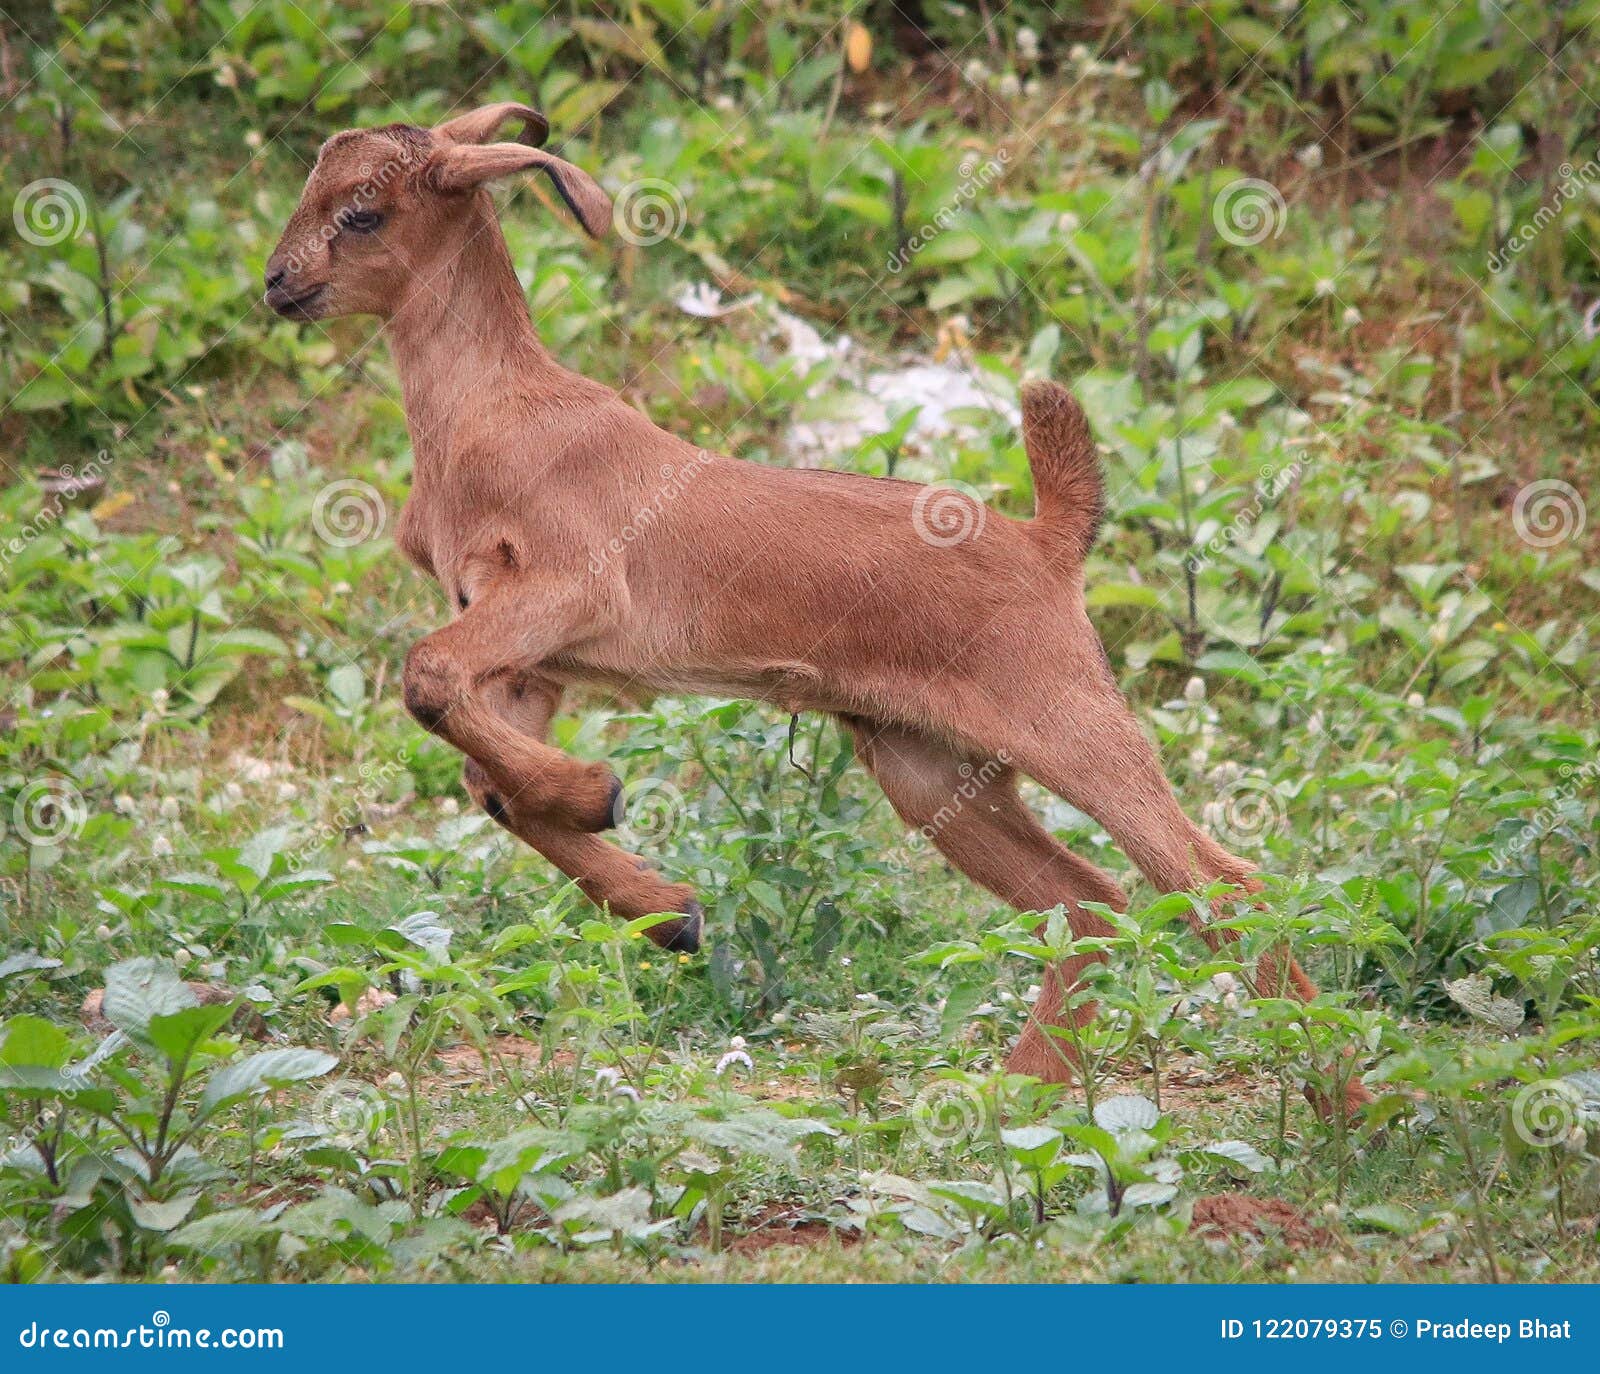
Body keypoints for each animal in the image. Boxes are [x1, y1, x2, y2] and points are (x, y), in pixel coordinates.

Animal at [264, 103, 1362, 1109]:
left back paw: (1341, 1100)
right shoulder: (530, 661)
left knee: (1219, 882)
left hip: (1063, 713)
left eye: (362, 211)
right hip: (930, 764)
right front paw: (666, 909)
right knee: (1088, 901)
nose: (277, 282)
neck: (486, 413)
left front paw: (603, 798)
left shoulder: (567, 589)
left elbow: (430, 679)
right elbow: (490, 784)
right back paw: (1012, 1101)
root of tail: (1049, 543)